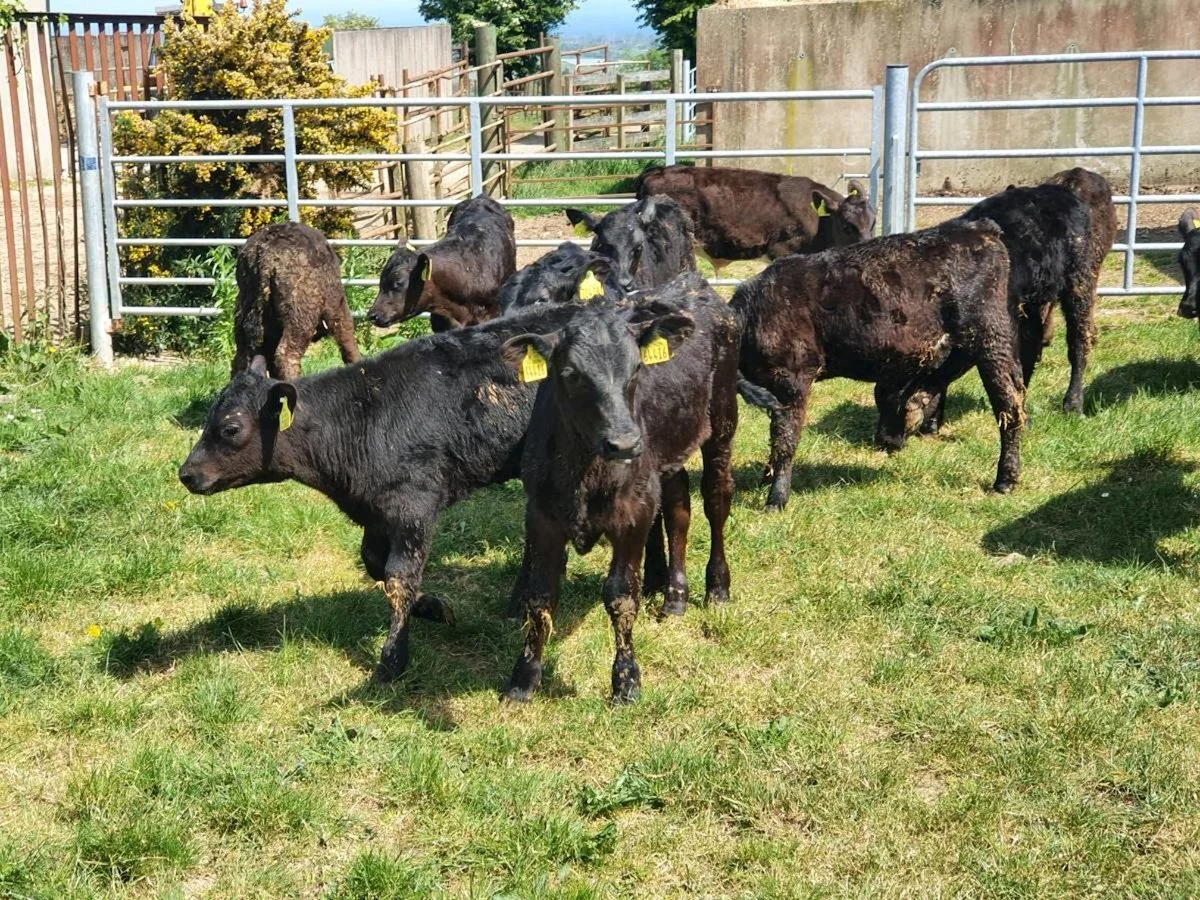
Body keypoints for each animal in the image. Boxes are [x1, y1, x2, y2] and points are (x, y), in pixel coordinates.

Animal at [178, 302, 592, 683]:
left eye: (230, 428)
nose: (186, 474)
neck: (361, 419)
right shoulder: (375, 511)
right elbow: (375, 563)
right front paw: (433, 607)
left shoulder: (414, 507)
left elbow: (399, 578)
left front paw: (393, 658)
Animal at [230, 222, 360, 381]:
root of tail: (264, 252)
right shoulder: (337, 309)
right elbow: (347, 340)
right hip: (300, 316)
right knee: (286, 355)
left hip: (243, 307)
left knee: (241, 357)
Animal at [500, 273, 739, 703]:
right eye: (571, 373)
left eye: (637, 367)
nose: (626, 444)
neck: (583, 470)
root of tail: (691, 282)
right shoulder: (541, 514)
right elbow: (539, 596)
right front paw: (524, 677)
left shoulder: (633, 514)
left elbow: (621, 595)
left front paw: (626, 680)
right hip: (666, 457)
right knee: (679, 510)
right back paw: (674, 596)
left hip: (723, 422)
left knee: (716, 502)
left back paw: (716, 588)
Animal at [733, 219, 1024, 511]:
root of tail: (977, 228)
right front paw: (765, 479)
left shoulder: (793, 378)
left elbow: (785, 437)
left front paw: (776, 499)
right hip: (960, 343)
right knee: (945, 372)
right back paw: (910, 409)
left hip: (990, 337)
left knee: (1009, 405)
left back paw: (1005, 480)